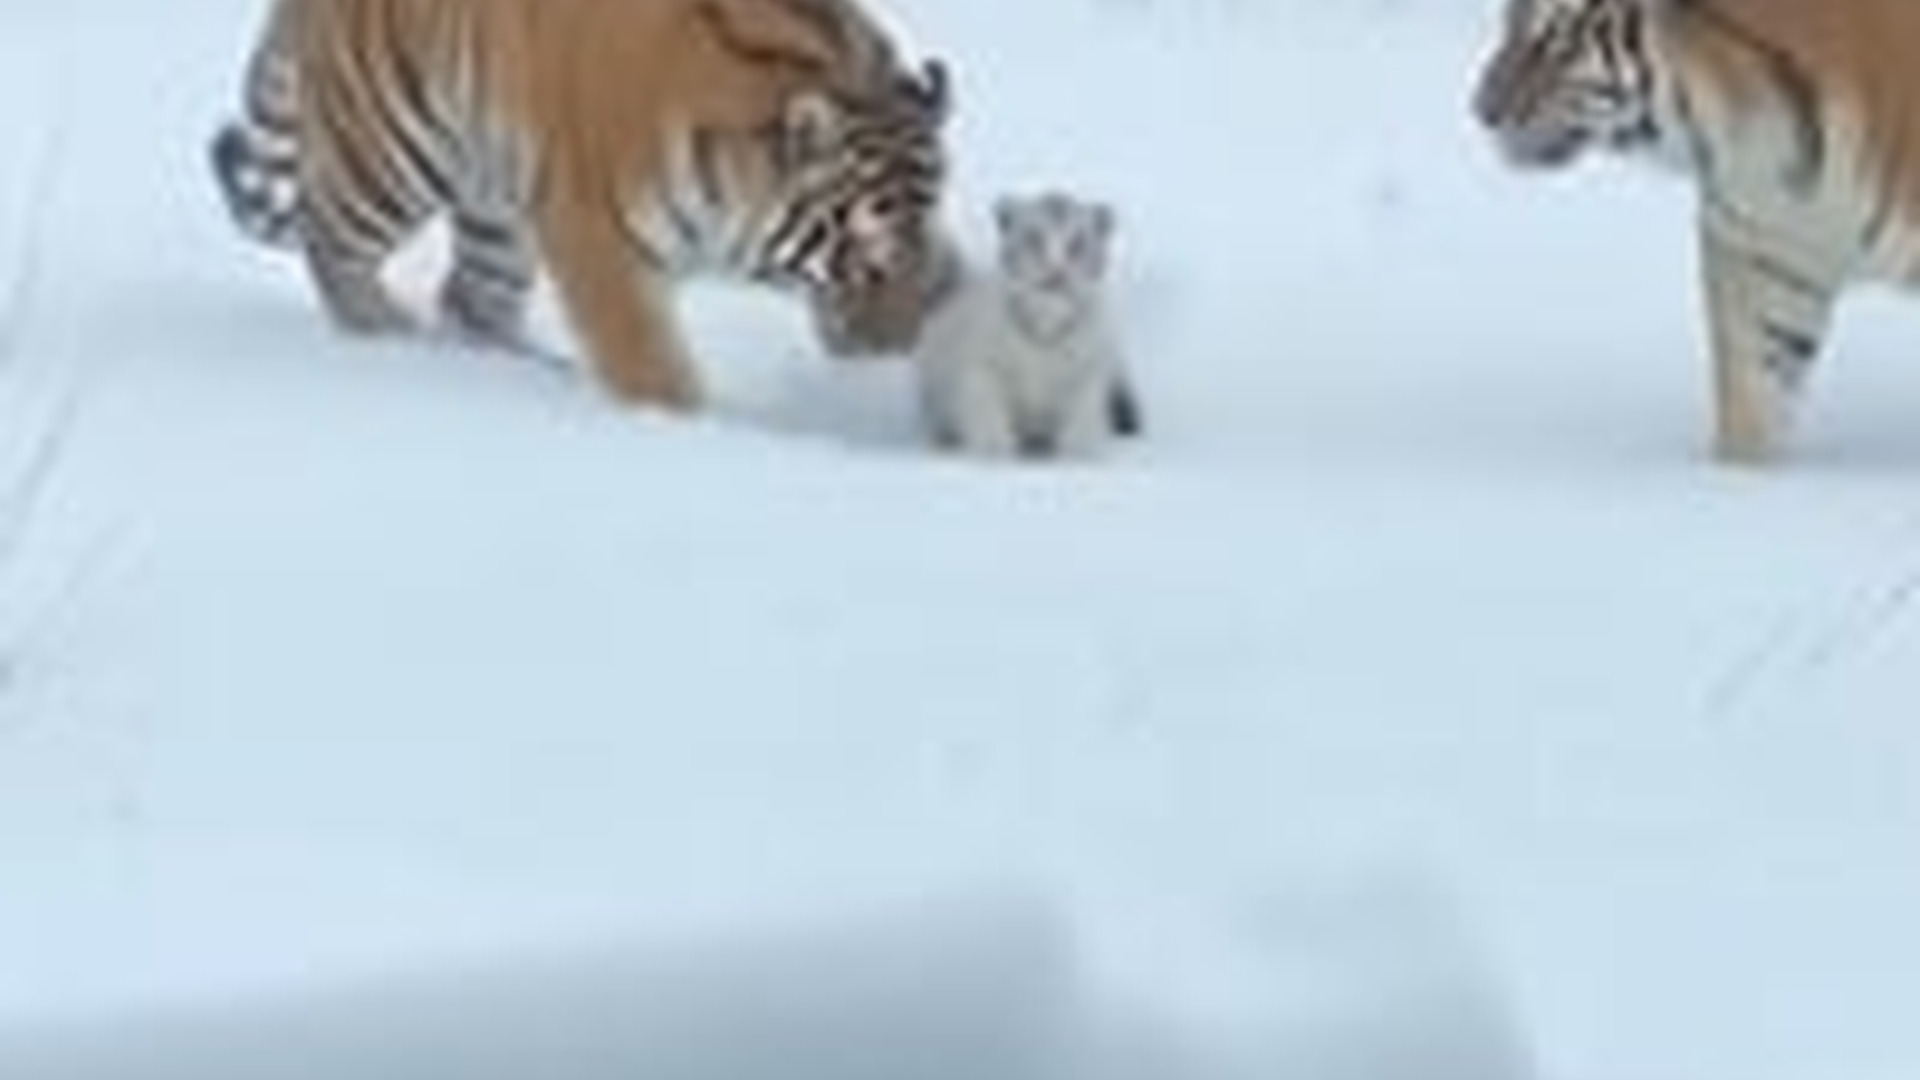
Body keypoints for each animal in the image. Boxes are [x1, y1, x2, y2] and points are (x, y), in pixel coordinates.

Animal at [209, 0, 953, 411]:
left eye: (926, 247)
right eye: (864, 256)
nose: (897, 354)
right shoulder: (599, 238)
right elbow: (652, 366)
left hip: (495, 201)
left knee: (471, 302)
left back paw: (533, 371)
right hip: (391, 145)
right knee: (335, 247)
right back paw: (393, 345)